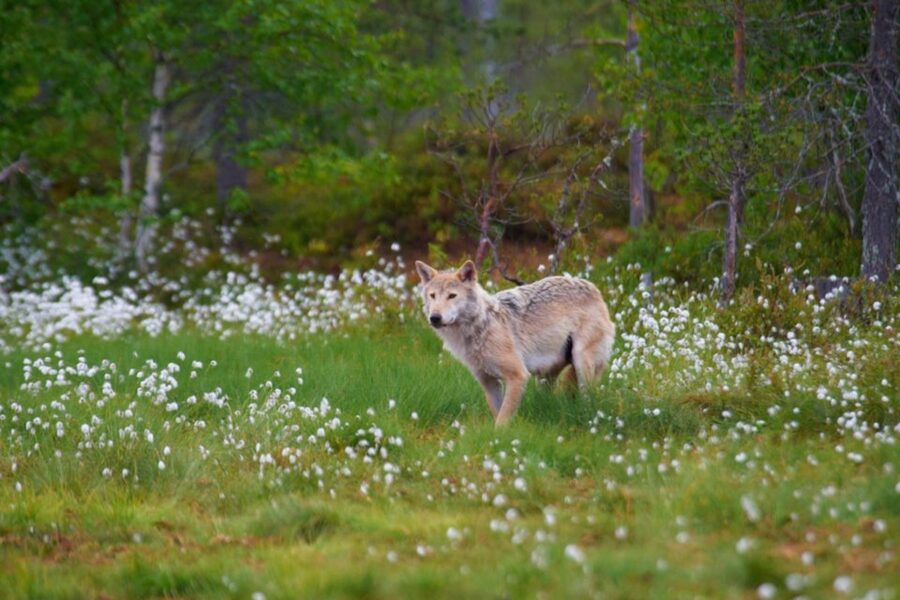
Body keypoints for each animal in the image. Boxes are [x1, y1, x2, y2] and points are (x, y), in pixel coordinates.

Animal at [416, 260, 616, 424]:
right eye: (433, 296)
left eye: (452, 296)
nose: (435, 317)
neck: (479, 328)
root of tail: (593, 287)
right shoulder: (489, 382)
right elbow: (497, 414)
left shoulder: (518, 376)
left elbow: (502, 420)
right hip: (546, 377)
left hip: (581, 363)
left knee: (588, 399)